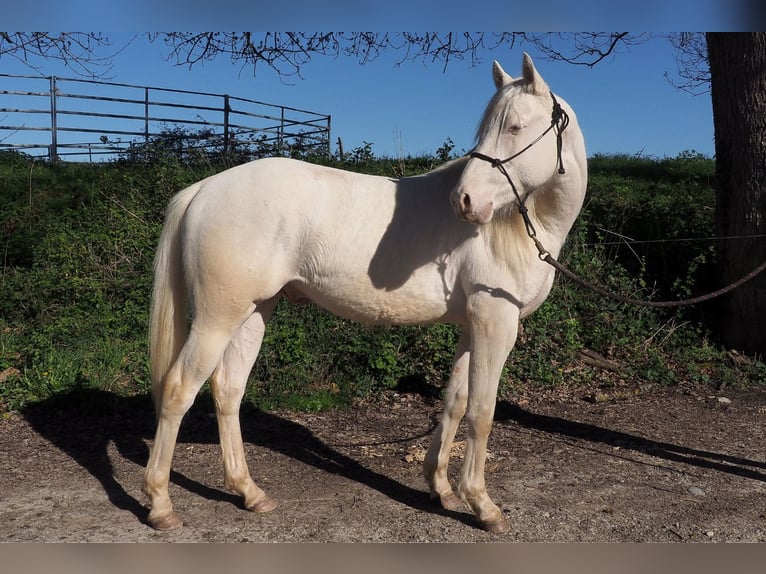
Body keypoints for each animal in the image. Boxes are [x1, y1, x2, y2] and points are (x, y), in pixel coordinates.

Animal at [143, 52, 587, 534]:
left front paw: (441, 489)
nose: (464, 201)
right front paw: (483, 505)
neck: (521, 225)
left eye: (516, 127)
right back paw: (161, 504)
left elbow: (455, 402)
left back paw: (249, 493)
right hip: (216, 319)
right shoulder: (495, 323)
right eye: (493, 127)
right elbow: (482, 412)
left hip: (253, 312)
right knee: (179, 390)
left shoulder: (473, 326)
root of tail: (204, 188)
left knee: (228, 390)